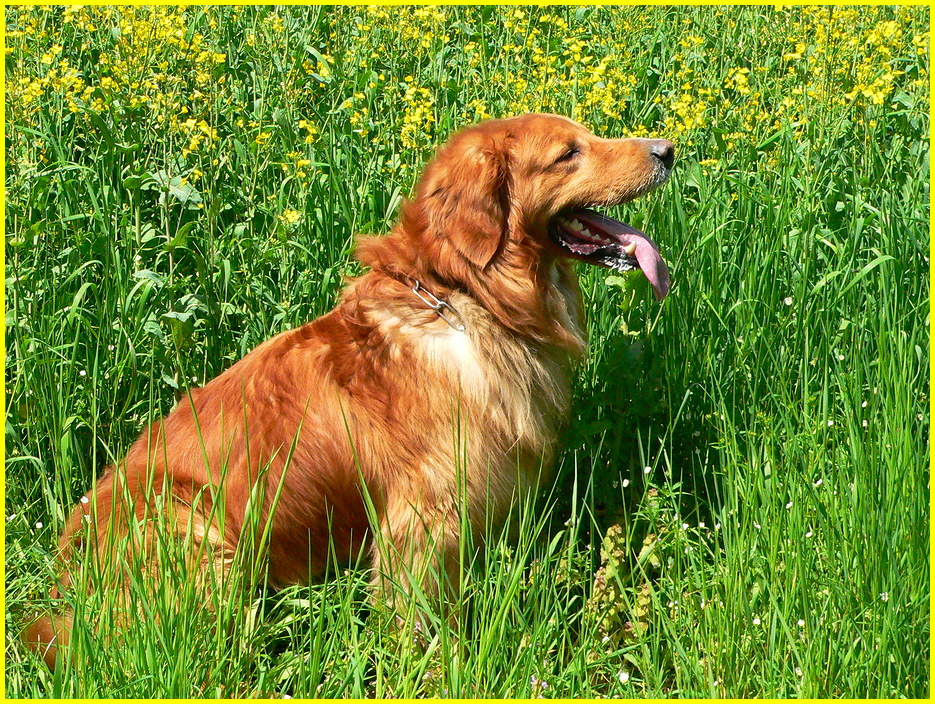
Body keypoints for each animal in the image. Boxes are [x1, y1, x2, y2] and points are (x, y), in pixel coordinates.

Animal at [23, 113, 672, 668]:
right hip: (198, 527)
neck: (464, 294)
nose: (667, 149)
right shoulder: (422, 521)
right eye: (569, 153)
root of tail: (66, 585)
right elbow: (421, 621)